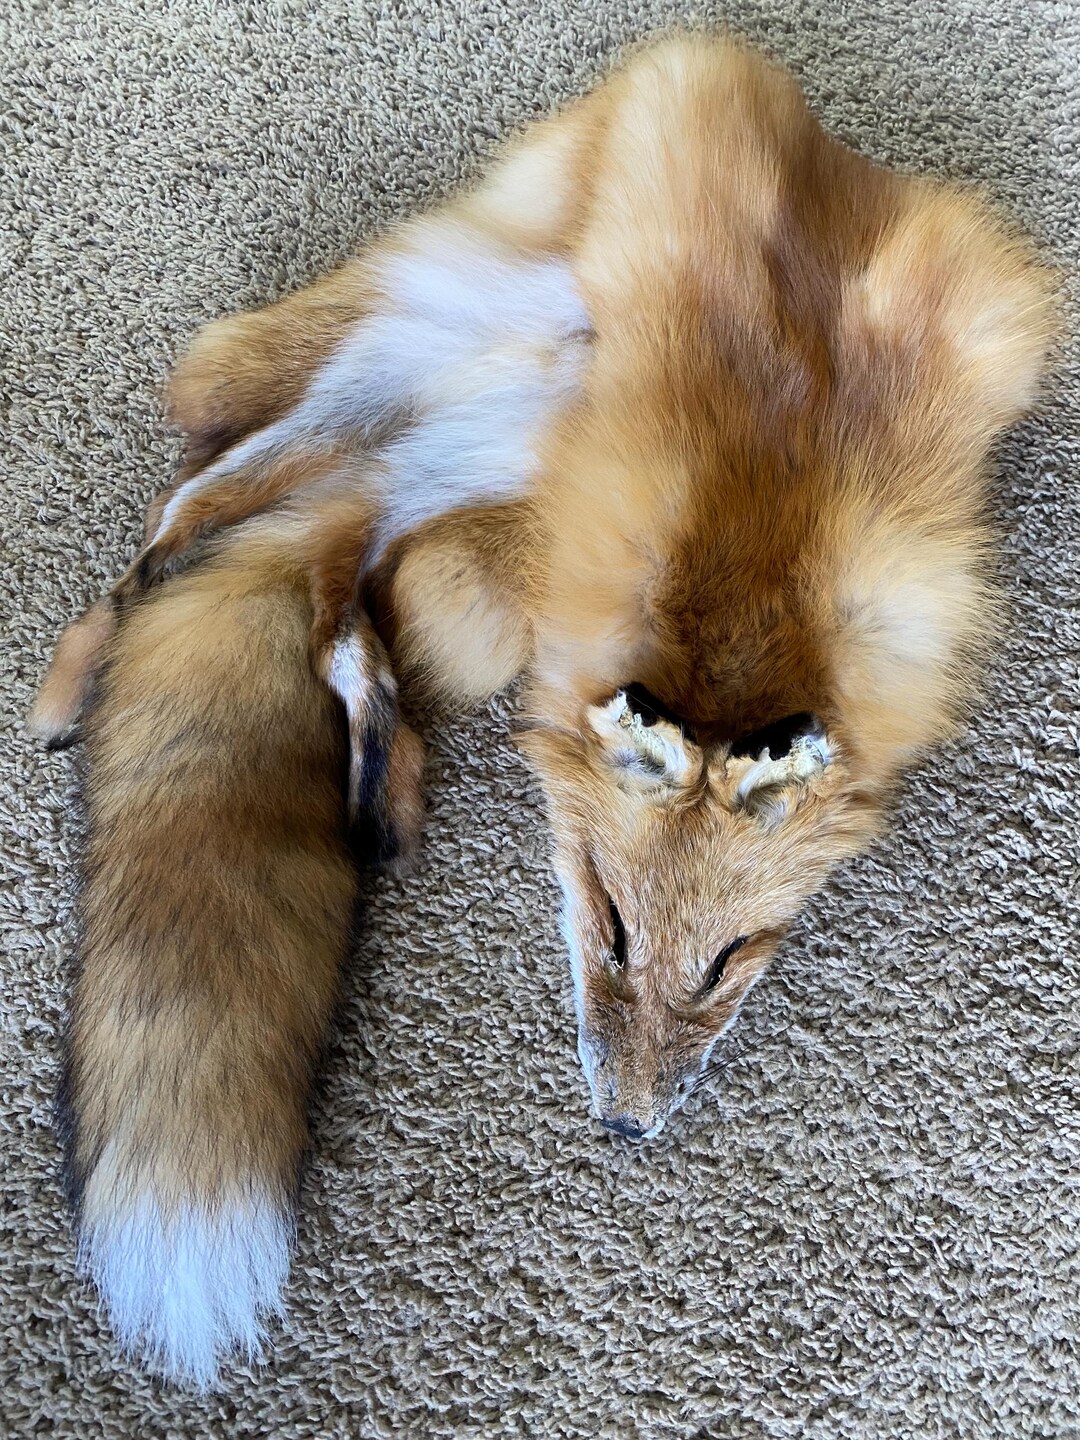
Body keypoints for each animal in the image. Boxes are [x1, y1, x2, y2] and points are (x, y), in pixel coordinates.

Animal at [32, 33, 1054, 1386]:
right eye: (611, 929)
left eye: (725, 961)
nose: (623, 1130)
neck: (753, 570)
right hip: (409, 408)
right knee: (190, 528)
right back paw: (103, 687)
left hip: (446, 460)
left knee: (301, 573)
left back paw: (350, 758)